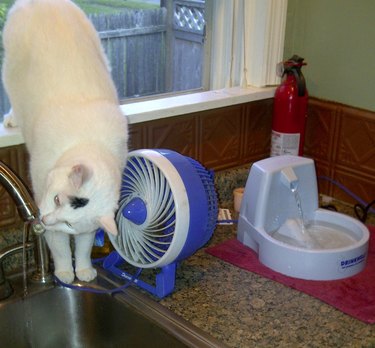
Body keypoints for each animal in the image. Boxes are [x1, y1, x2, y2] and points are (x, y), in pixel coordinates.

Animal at [1, 0, 129, 282]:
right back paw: (12, 119)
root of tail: (45, 3)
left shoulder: (84, 231)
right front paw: (63, 272)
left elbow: (83, 246)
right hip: (10, 69)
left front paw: (83, 269)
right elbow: (59, 247)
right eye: (57, 199)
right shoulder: (41, 199)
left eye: (70, 222)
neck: (89, 141)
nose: (47, 219)